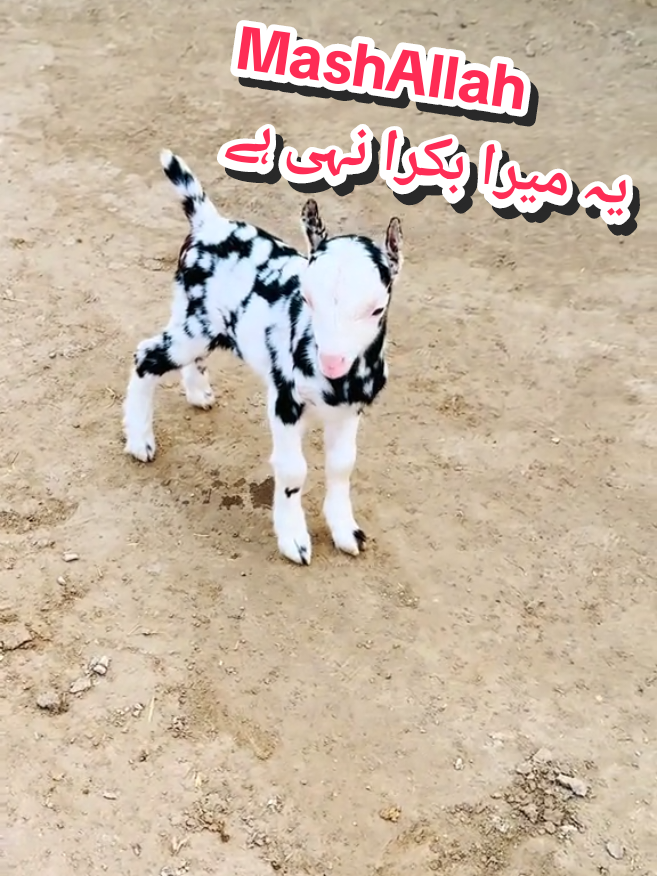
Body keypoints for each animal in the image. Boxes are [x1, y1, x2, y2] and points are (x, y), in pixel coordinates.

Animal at [122, 150, 403, 565]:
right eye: (307, 297)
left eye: (376, 309)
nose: (332, 362)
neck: (336, 385)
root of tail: (208, 223)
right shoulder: (284, 402)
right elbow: (292, 471)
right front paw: (294, 540)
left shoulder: (351, 408)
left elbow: (342, 466)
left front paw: (345, 531)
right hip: (196, 327)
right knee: (147, 356)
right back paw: (140, 440)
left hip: (196, 319)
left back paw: (198, 393)